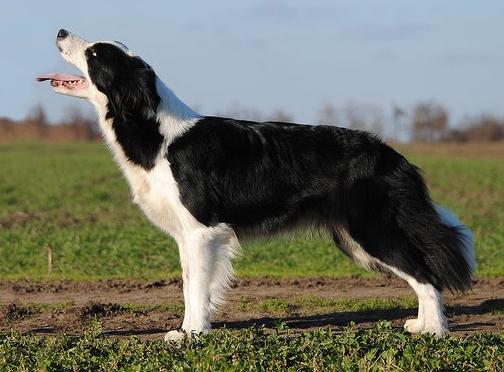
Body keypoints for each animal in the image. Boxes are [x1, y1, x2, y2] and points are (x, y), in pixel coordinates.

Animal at [38, 30, 472, 342]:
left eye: (96, 53)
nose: (60, 30)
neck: (157, 135)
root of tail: (393, 155)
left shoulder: (203, 231)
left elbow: (198, 288)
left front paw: (193, 335)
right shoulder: (187, 236)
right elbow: (190, 285)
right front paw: (189, 329)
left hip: (372, 230)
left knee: (426, 274)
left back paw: (435, 331)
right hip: (358, 236)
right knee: (420, 273)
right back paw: (421, 325)